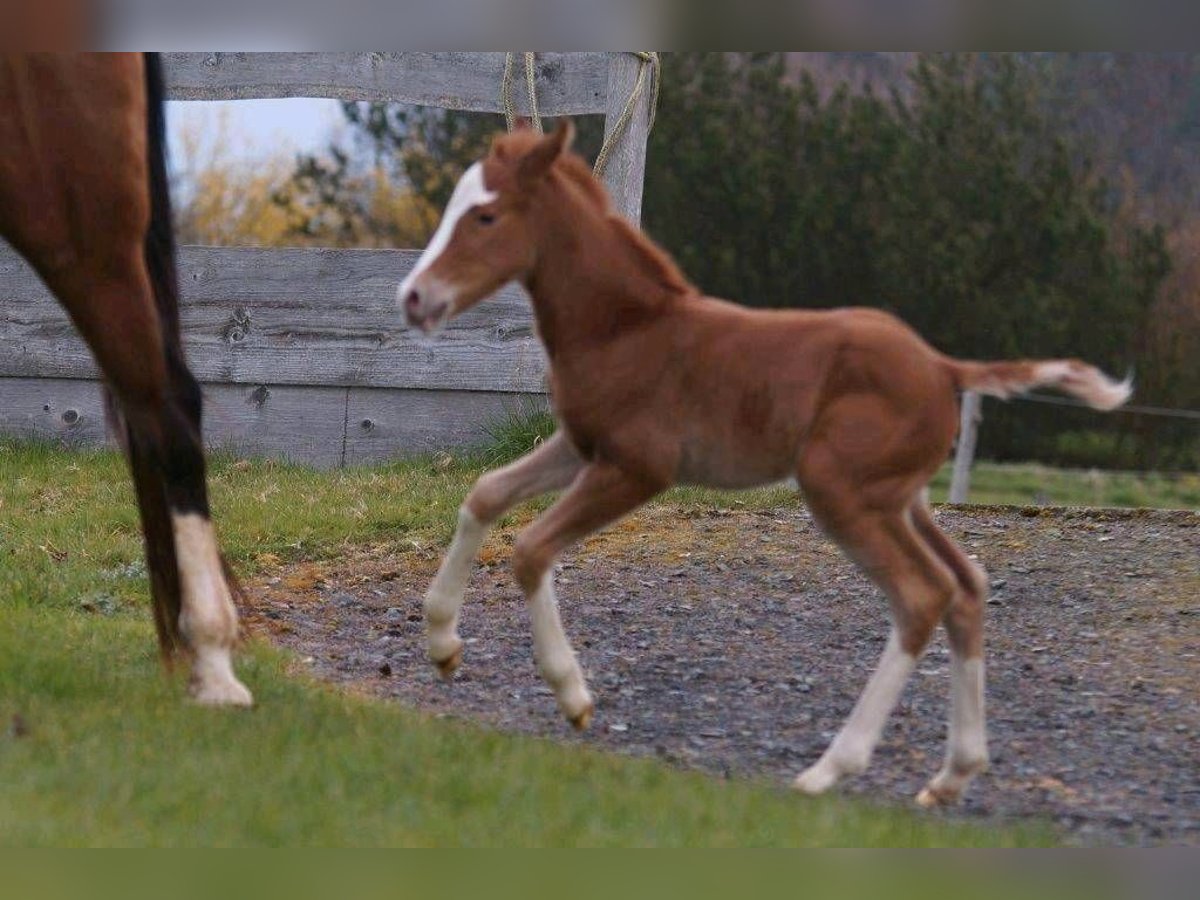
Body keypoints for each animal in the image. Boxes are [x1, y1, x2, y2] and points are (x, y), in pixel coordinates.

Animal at [398, 123, 1128, 806]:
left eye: (485, 216)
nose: (413, 298)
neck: (625, 328)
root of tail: (945, 367)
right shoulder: (580, 447)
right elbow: (486, 494)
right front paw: (441, 644)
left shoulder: (638, 467)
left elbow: (530, 549)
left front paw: (572, 696)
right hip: (901, 499)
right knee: (968, 586)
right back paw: (953, 774)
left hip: (840, 490)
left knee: (922, 597)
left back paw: (830, 769)